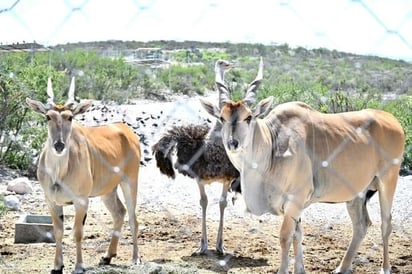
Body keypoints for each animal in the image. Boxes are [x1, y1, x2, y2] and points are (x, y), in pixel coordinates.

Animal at [26, 77, 142, 274]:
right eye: (48, 116)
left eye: (70, 117)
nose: (59, 145)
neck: (59, 173)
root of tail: (126, 130)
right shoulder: (51, 201)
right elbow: (58, 232)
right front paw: (57, 266)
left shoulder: (81, 201)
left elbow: (78, 233)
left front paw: (79, 266)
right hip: (108, 191)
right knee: (119, 213)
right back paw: (107, 256)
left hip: (130, 182)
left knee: (133, 218)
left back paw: (135, 259)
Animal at [200, 58, 406, 272]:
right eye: (222, 118)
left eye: (248, 117)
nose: (233, 143)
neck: (274, 143)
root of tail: (393, 121)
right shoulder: (296, 206)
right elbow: (298, 235)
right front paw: (300, 269)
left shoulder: (295, 200)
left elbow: (285, 236)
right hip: (357, 194)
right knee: (361, 225)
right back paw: (342, 267)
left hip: (387, 181)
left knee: (386, 224)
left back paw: (385, 268)